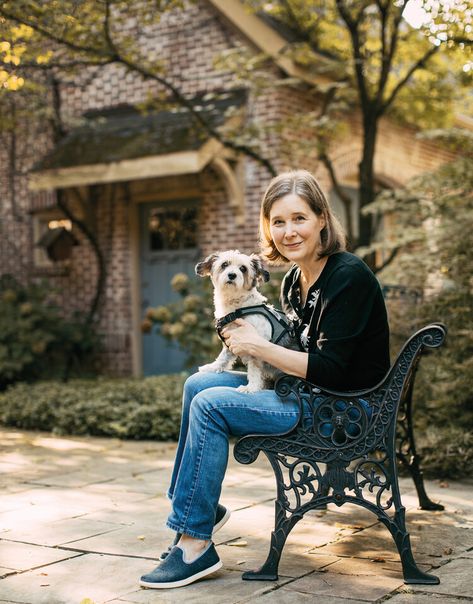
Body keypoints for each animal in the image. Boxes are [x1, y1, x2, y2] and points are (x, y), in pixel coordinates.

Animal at [195, 249, 292, 394]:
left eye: (243, 268)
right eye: (224, 264)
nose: (232, 275)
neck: (237, 306)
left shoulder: (255, 348)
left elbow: (254, 370)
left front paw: (251, 387)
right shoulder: (230, 340)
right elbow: (223, 357)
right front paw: (212, 367)